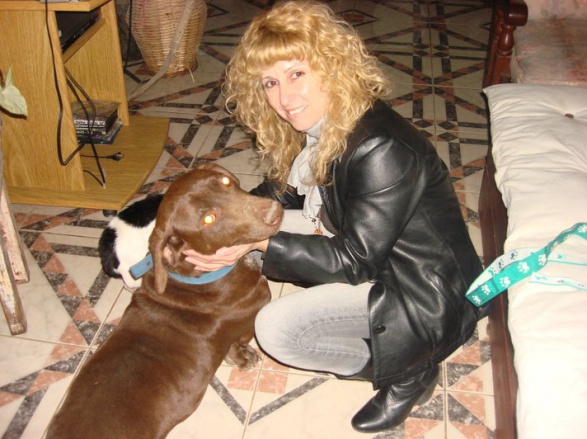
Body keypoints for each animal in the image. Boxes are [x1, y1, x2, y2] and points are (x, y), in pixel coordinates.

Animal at [46, 163, 283, 439]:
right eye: (208, 219)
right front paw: (244, 357)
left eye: (225, 182)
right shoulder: (250, 317)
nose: (274, 211)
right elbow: (236, 341)